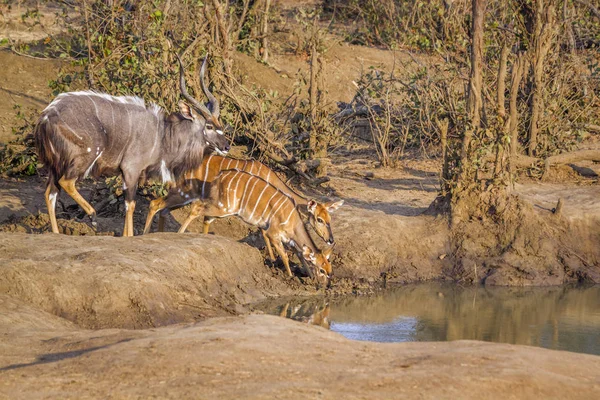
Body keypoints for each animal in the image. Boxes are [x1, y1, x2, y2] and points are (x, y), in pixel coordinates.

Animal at [34, 55, 230, 236]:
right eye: (209, 126)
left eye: (219, 123)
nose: (226, 146)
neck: (163, 136)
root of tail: (46, 116)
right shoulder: (131, 169)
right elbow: (131, 204)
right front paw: (128, 236)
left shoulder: (126, 173)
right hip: (84, 156)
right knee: (66, 182)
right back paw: (93, 216)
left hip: (55, 164)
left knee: (50, 193)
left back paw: (56, 233)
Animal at [142, 156, 342, 253]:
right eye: (319, 219)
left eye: (329, 218)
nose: (331, 239)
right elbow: (264, 232)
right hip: (182, 193)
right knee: (154, 204)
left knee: (162, 209)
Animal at [155, 170, 332, 280]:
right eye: (322, 270)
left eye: (330, 269)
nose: (325, 285)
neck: (294, 220)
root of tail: (220, 176)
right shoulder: (273, 233)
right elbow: (285, 255)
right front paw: (289, 276)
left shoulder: (290, 241)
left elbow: (301, 256)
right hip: (222, 207)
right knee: (194, 208)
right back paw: (178, 233)